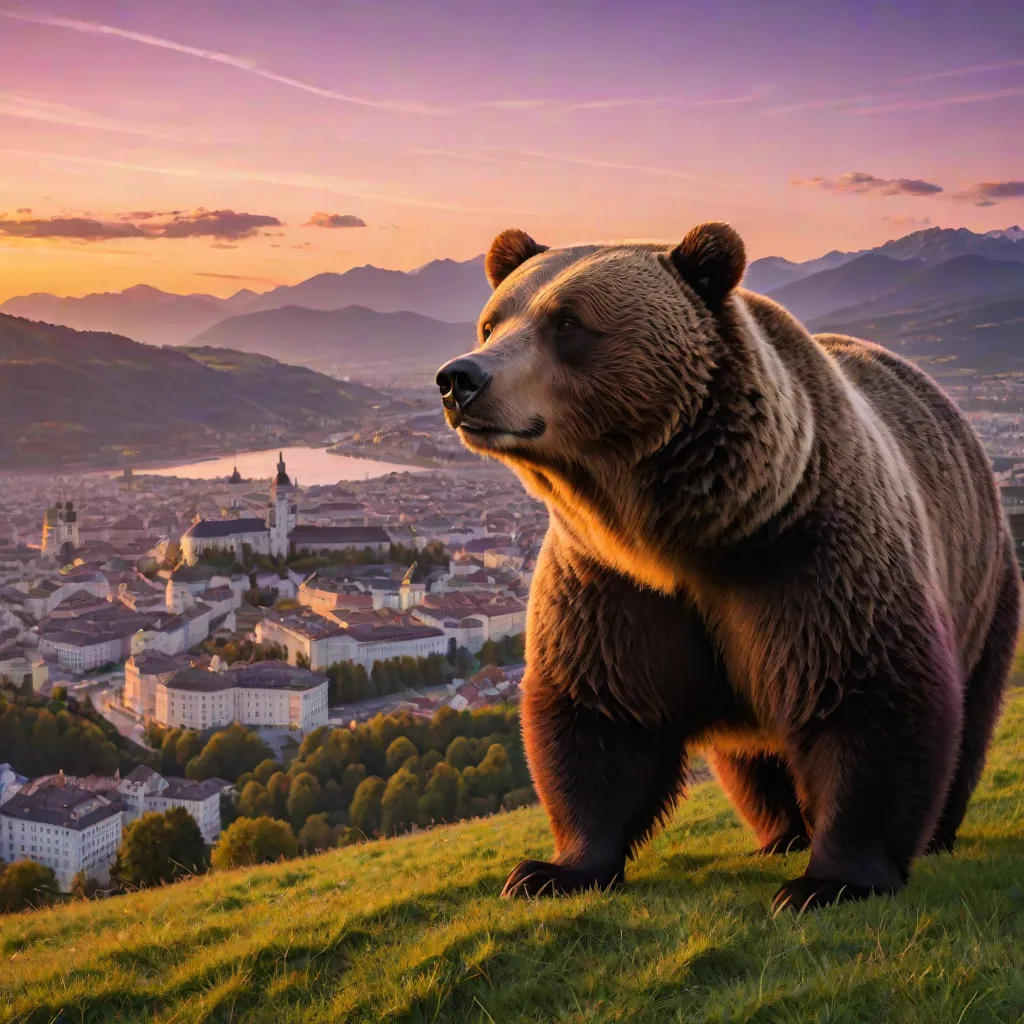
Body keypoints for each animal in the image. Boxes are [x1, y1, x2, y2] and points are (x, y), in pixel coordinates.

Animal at [434, 222, 1020, 911]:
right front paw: (550, 871)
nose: (459, 378)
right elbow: (599, 711)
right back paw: (782, 835)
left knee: (971, 714)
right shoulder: (610, 583)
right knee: (753, 757)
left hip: (985, 582)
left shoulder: (810, 556)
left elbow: (869, 696)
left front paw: (830, 882)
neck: (684, 532)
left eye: (568, 322)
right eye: (493, 322)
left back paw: (933, 835)